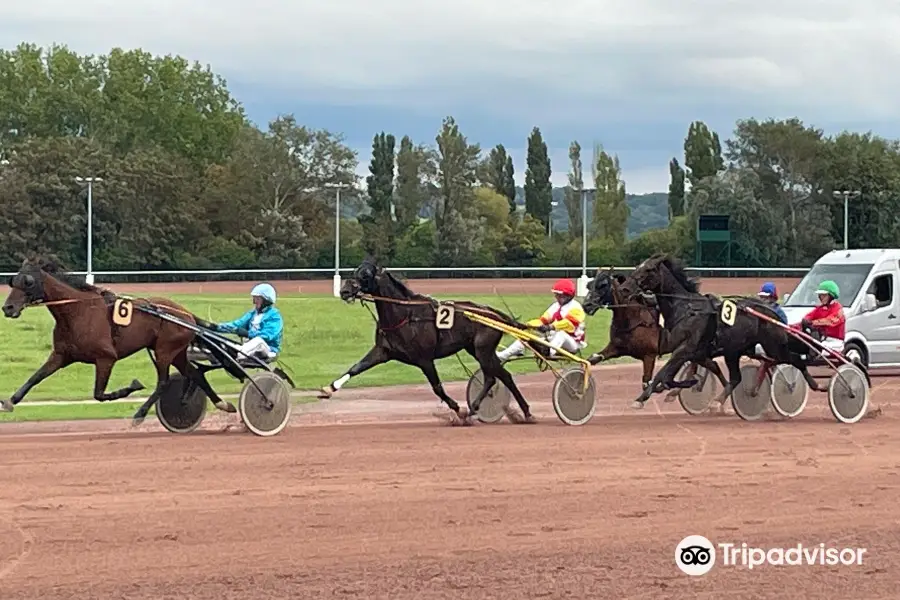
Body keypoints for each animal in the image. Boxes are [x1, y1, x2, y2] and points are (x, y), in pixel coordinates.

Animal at [0, 256, 237, 422]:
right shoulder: (61, 354)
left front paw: (132, 386)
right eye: (13, 281)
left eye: (28, 281)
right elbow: (35, 377)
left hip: (164, 351)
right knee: (195, 373)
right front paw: (10, 401)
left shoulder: (106, 358)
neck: (78, 312)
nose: (8, 308)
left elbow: (99, 394)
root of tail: (187, 315)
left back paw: (140, 414)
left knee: (163, 382)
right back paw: (223, 404)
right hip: (176, 352)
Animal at [318, 255, 536, 424]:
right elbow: (356, 368)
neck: (404, 315)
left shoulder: (424, 359)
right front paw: (328, 389)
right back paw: (506, 411)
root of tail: (494, 313)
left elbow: (437, 387)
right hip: (475, 349)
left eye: (365, 275)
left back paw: (502, 410)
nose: (344, 291)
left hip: (483, 349)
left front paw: (459, 410)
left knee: (498, 377)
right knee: (497, 377)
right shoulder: (383, 351)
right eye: (355, 270)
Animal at [580, 268, 728, 408]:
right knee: (712, 366)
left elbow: (647, 381)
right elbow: (593, 358)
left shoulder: (649, 355)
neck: (634, 319)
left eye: (603, 285)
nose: (586, 305)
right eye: (589, 285)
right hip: (697, 351)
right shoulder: (616, 348)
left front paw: (643, 398)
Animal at [620, 253, 824, 412]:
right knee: (737, 377)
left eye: (648, 270)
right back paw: (717, 401)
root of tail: (772, 313)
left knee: (795, 359)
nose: (625, 288)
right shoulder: (692, 352)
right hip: (735, 351)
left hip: (773, 347)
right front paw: (683, 385)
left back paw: (815, 384)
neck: (686, 308)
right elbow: (672, 376)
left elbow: (663, 374)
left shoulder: (686, 349)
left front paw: (641, 399)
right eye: (637, 267)